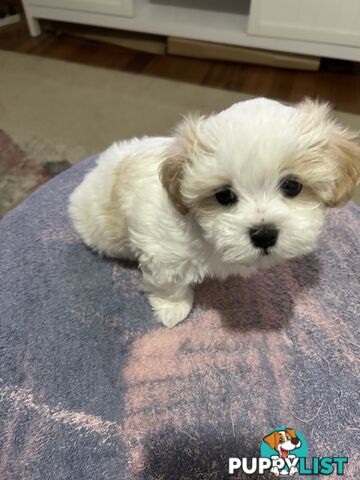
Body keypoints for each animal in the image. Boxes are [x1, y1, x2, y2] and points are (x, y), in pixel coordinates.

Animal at [69, 99, 358, 328]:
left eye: (292, 186)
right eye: (224, 196)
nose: (264, 234)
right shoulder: (162, 250)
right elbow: (169, 282)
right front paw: (173, 308)